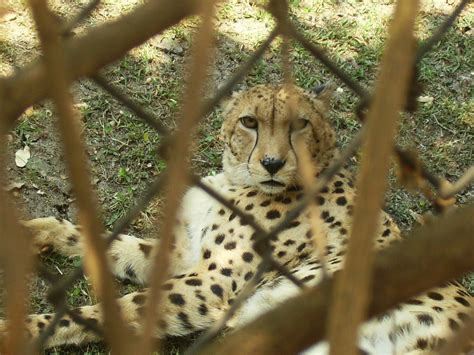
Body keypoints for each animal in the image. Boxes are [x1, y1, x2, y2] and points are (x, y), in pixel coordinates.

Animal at [0, 83, 470, 354]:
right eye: (249, 122)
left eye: (300, 124)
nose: (273, 163)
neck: (234, 179)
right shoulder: (186, 256)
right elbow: (111, 246)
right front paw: (35, 233)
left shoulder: (213, 282)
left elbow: (110, 308)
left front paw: (20, 329)